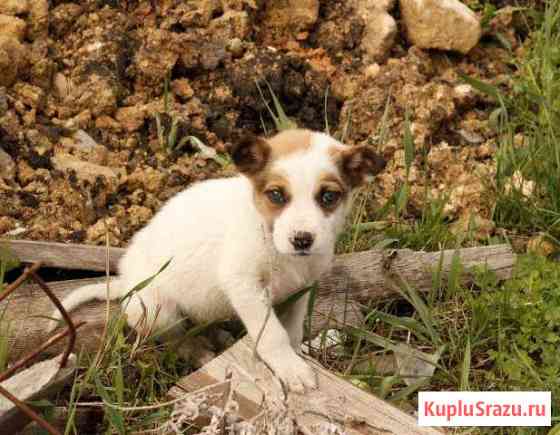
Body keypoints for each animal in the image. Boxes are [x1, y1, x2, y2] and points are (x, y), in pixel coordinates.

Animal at [52, 127, 384, 394]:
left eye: (328, 197)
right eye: (277, 195)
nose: (302, 239)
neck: (271, 240)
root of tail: (124, 284)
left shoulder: (300, 291)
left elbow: (291, 331)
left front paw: (295, 357)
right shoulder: (244, 285)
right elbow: (272, 335)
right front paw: (290, 369)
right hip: (160, 311)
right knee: (175, 340)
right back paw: (200, 351)